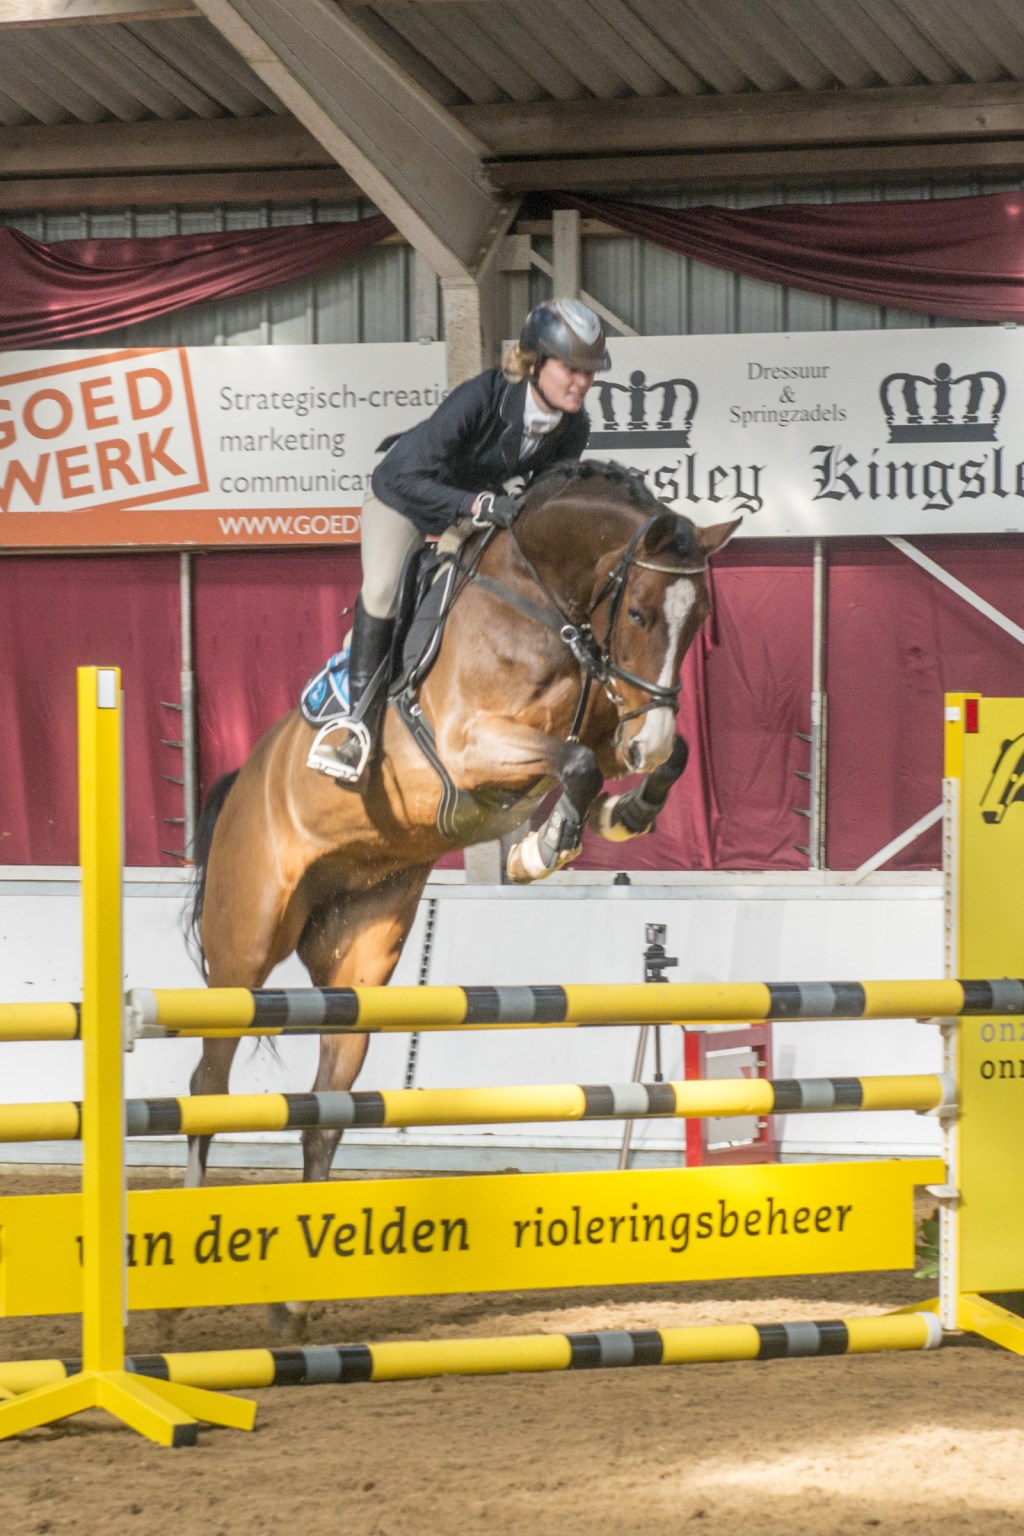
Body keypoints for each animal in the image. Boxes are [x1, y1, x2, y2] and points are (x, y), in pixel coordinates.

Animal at [186, 461, 738, 1193]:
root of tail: (241, 785)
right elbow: (579, 763)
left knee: (325, 1113)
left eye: (699, 620)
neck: (542, 602)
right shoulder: (467, 744)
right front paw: (543, 847)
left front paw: (624, 814)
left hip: (360, 958)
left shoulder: (607, 718)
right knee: (206, 1087)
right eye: (640, 613)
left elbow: (641, 758)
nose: (647, 741)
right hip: (243, 952)